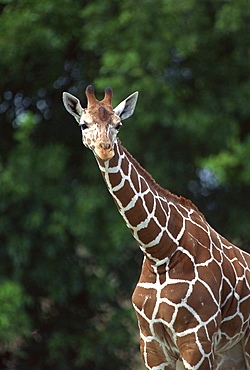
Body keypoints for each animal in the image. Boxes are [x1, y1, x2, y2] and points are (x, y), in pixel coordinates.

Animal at [63, 86, 250, 370]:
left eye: (119, 124)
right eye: (84, 124)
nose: (105, 149)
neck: (160, 252)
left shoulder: (197, 340)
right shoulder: (152, 345)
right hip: (231, 353)